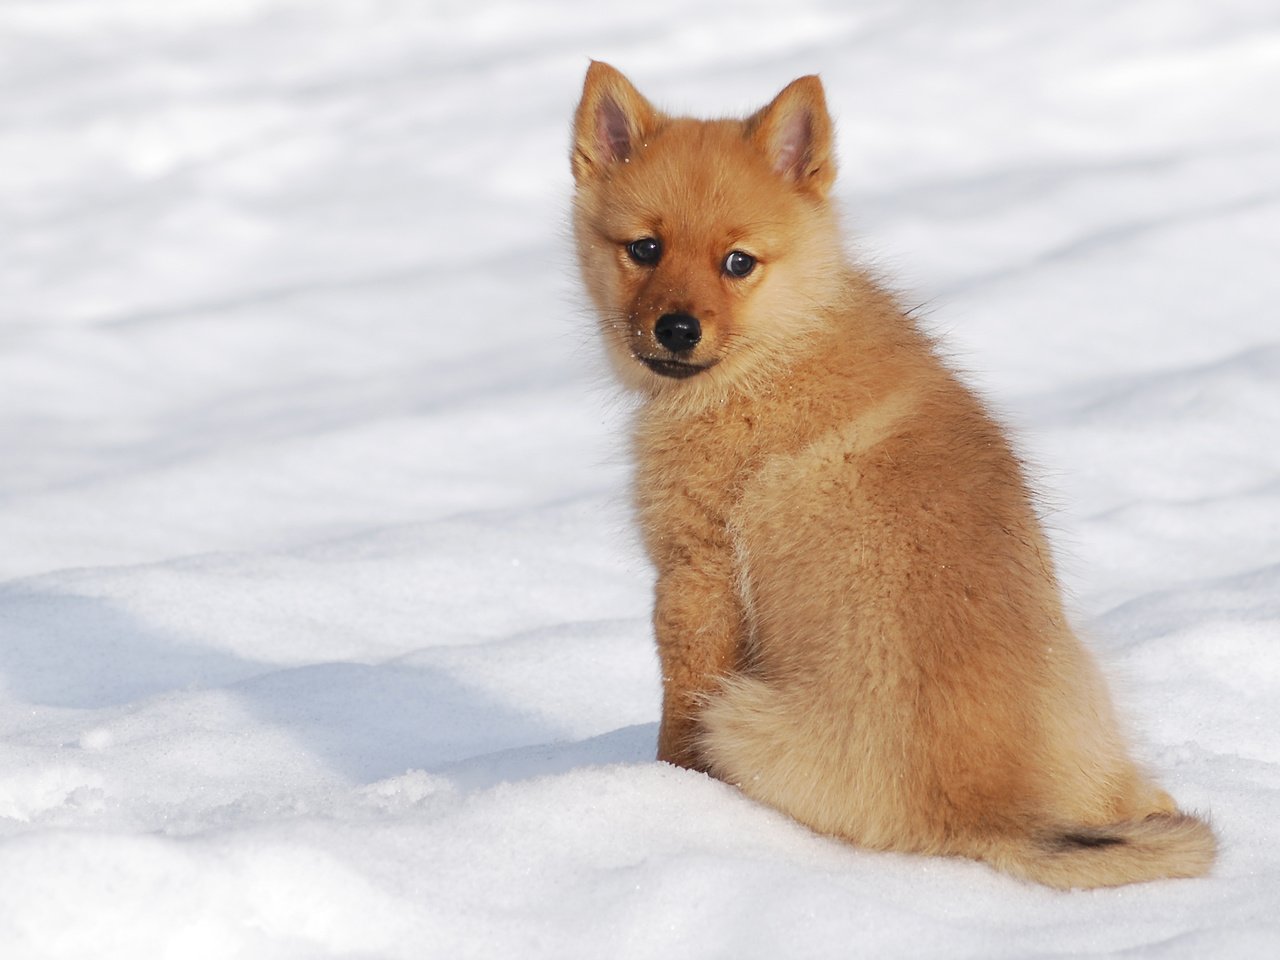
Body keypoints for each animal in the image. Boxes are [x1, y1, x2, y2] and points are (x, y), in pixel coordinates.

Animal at [573, 58, 1218, 885]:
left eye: (737, 262)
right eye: (645, 249)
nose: (676, 330)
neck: (779, 350)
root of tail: (993, 812)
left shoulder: (695, 576)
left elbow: (675, 723)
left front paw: (666, 792)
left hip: (743, 716)